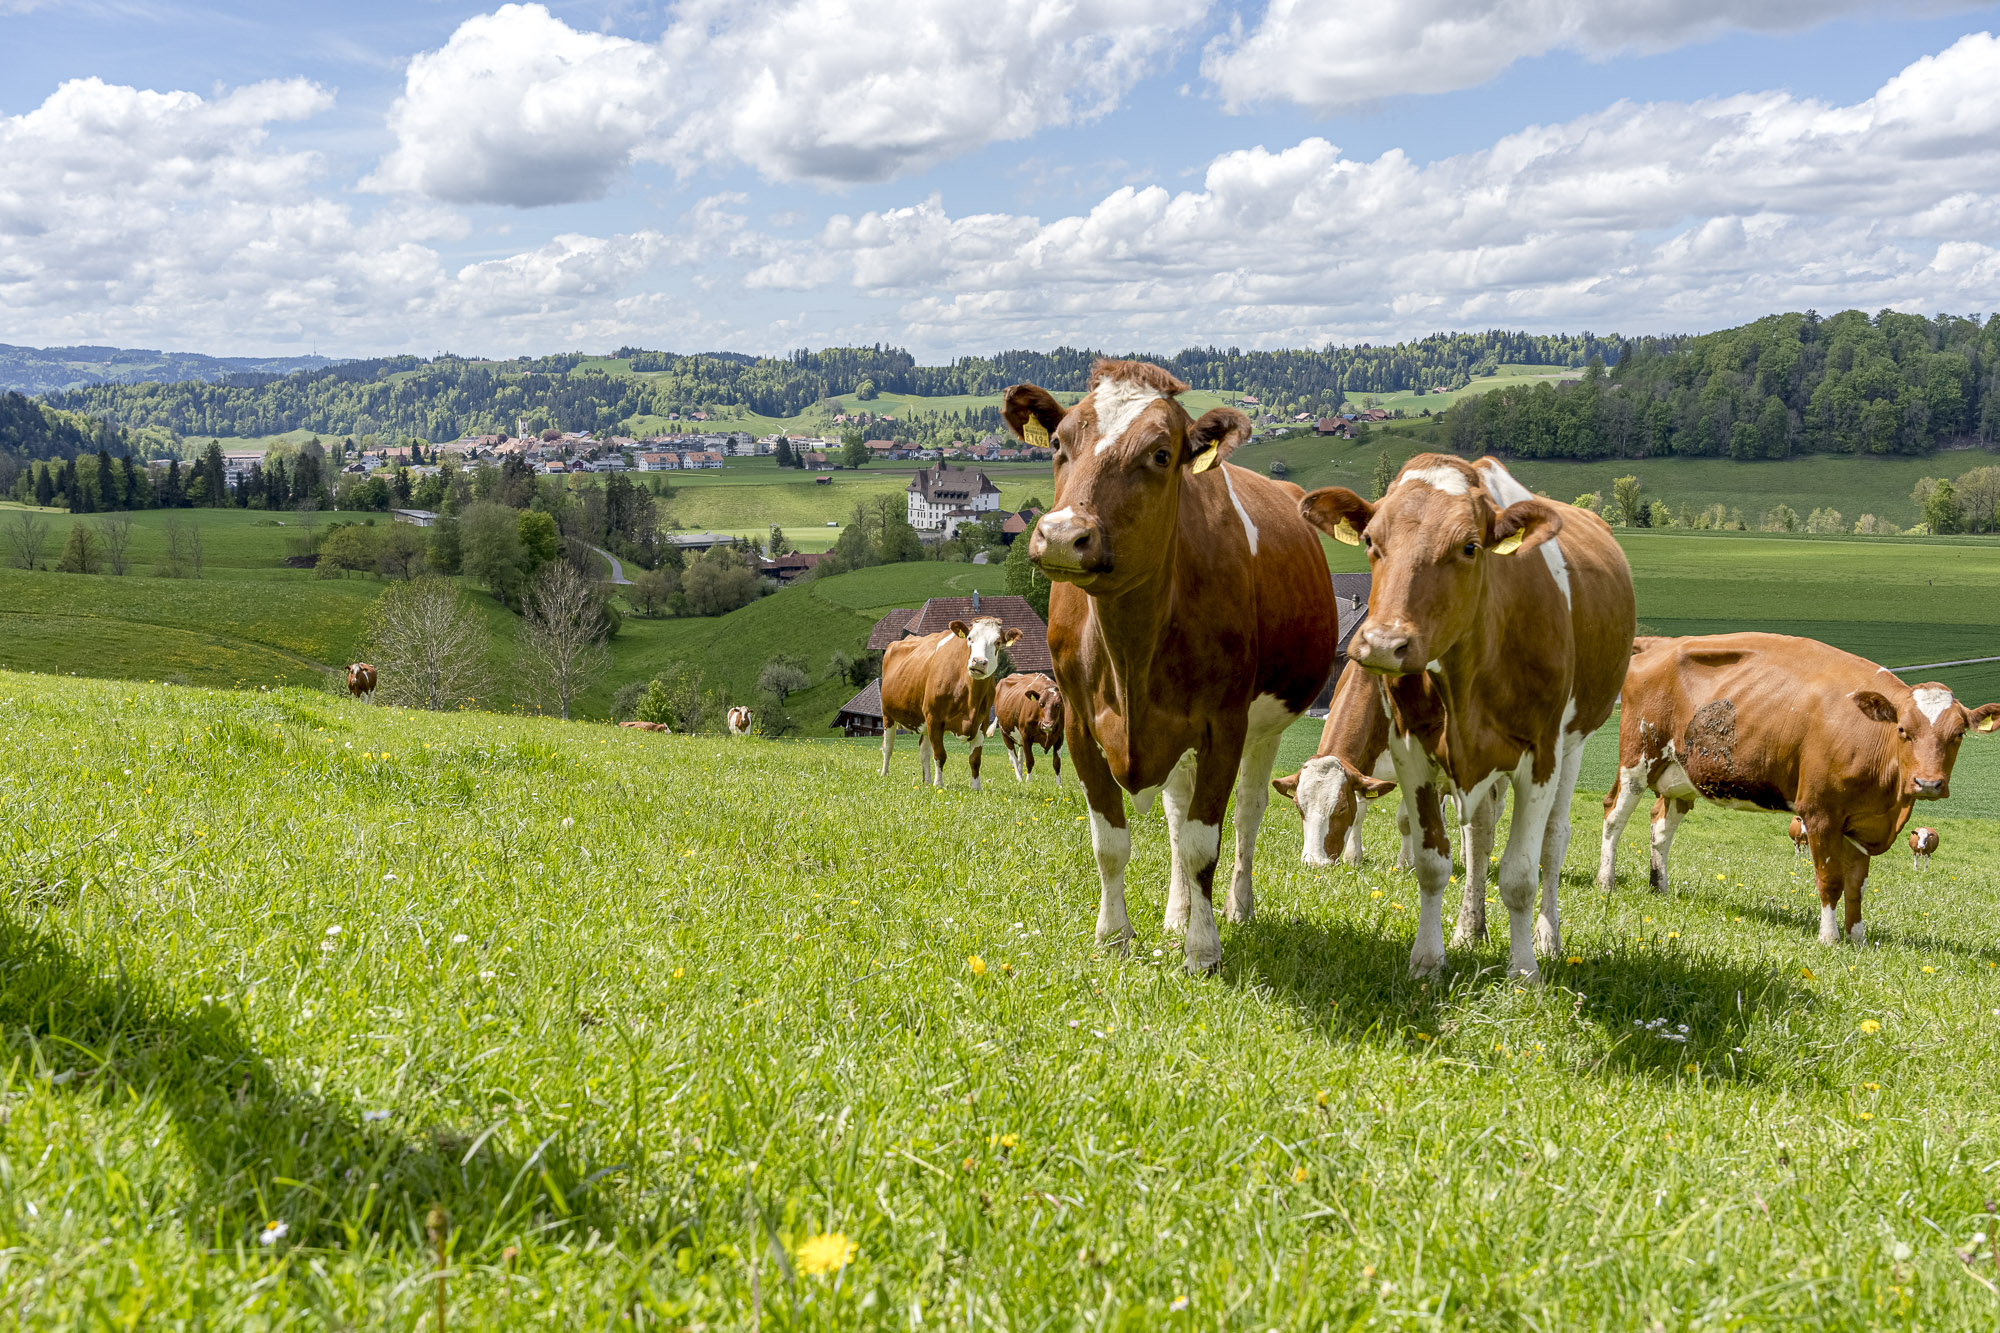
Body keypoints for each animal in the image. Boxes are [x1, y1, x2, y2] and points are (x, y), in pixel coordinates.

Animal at [884, 616, 1024, 788]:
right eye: (969, 638)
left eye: (998, 642)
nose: (978, 662)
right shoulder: (934, 718)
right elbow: (940, 755)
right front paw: (939, 785)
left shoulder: (982, 722)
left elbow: (975, 760)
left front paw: (976, 787)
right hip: (888, 714)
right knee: (888, 747)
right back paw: (885, 774)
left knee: (924, 750)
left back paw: (926, 781)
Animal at [1008, 358, 1336, 972]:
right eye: (1059, 443)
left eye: (1161, 454)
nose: (1062, 536)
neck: (1131, 650)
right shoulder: (1079, 724)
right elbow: (1111, 842)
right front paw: (1114, 937)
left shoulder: (1223, 726)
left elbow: (1204, 843)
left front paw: (1203, 950)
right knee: (1176, 816)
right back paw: (1176, 913)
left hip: (1265, 729)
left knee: (1247, 814)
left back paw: (1236, 906)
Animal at [1296, 456, 1640, 976]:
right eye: (1371, 540)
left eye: (1470, 547)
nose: (1382, 643)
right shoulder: (1411, 751)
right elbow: (1432, 859)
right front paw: (1428, 959)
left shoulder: (1540, 755)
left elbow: (1520, 874)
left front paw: (1524, 972)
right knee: (1479, 834)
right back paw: (1470, 928)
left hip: (1574, 743)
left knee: (1552, 839)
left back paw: (1548, 939)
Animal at [1592, 628, 2000, 940]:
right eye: (1903, 729)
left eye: (1958, 733)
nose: (1928, 783)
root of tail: (1662, 642)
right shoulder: (1819, 813)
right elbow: (1831, 880)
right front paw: (1829, 938)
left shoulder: (1862, 822)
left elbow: (1857, 884)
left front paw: (1858, 937)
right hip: (1638, 757)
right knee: (1614, 815)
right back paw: (1605, 882)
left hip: (1682, 774)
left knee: (1661, 826)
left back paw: (1658, 887)